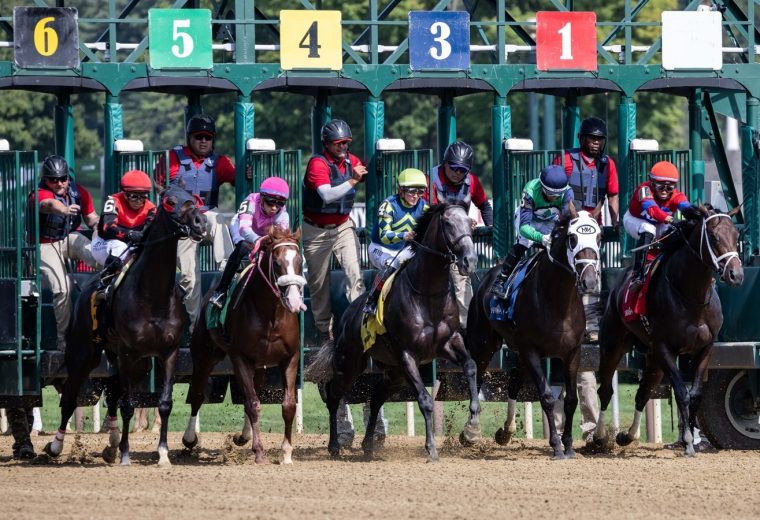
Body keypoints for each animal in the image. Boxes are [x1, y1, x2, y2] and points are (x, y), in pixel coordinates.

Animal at [45, 186, 206, 464]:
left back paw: (111, 442)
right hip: (84, 353)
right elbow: (128, 404)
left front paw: (163, 453)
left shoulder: (169, 352)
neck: (153, 294)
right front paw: (126, 455)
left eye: (192, 197)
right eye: (170, 201)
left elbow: (163, 403)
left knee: (113, 390)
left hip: (133, 362)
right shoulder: (128, 352)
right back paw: (56, 445)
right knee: (70, 397)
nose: (199, 222)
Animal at [183, 228, 308, 464]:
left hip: (259, 366)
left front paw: (286, 453)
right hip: (204, 355)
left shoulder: (290, 357)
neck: (270, 315)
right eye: (277, 262)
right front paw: (258, 451)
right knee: (197, 395)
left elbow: (287, 405)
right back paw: (189, 438)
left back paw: (244, 435)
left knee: (253, 391)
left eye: (299, 261)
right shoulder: (240, 358)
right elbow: (253, 404)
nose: (295, 301)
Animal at [304, 201, 478, 462]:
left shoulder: (450, 341)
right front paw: (431, 448)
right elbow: (425, 400)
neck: (428, 293)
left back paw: (368, 445)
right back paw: (334, 445)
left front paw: (473, 424)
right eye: (448, 223)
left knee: (376, 397)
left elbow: (470, 366)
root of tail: (346, 316)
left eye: (470, 223)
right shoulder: (407, 354)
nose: (470, 261)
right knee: (334, 395)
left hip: (393, 371)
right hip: (351, 362)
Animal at [466, 207, 604, 460]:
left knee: (512, 385)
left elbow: (571, 400)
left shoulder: (572, 352)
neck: (558, 301)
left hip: (519, 352)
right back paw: (470, 431)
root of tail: (487, 277)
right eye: (572, 238)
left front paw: (569, 446)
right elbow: (547, 396)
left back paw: (506, 431)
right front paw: (556, 446)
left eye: (599, 237)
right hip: (484, 344)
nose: (589, 280)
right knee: (477, 377)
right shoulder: (531, 350)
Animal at [592, 203, 744, 456]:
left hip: (653, 359)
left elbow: (695, 394)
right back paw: (600, 437)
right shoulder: (665, 348)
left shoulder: (705, 348)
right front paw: (688, 442)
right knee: (605, 390)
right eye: (714, 237)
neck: (692, 297)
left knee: (642, 393)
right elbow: (682, 392)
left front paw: (691, 438)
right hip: (613, 346)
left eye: (737, 235)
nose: (736, 275)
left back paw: (627, 436)